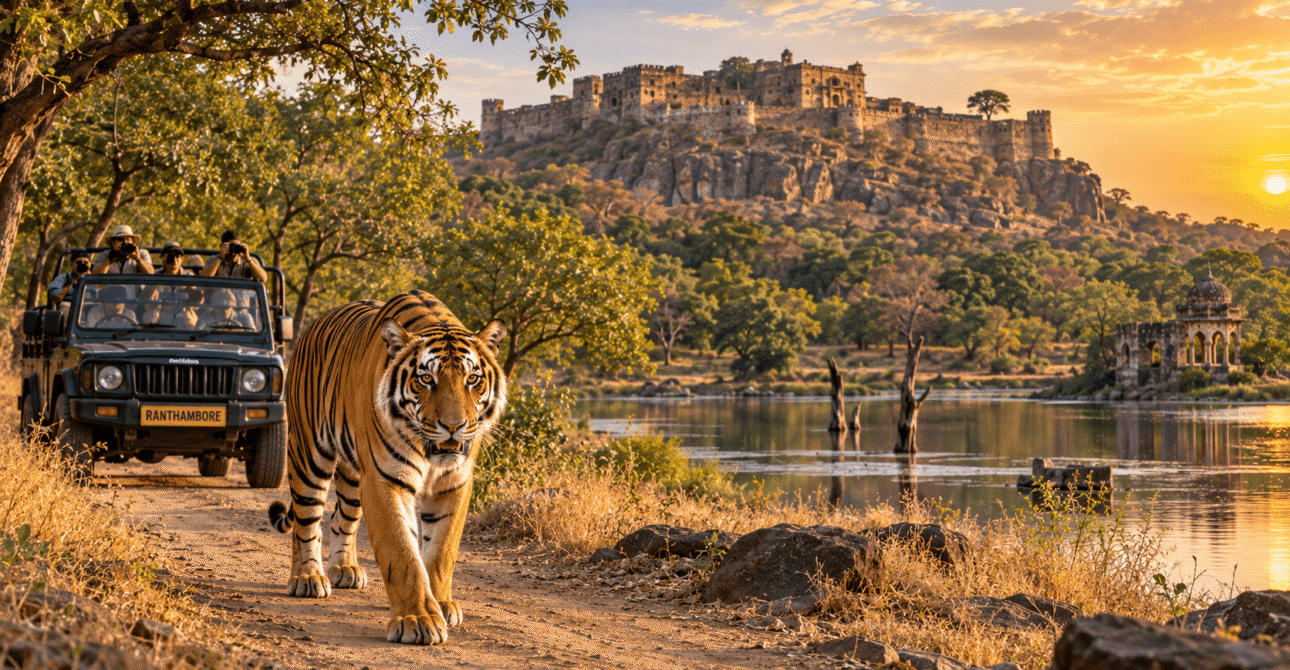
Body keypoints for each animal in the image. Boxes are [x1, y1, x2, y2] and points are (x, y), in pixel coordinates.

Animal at [267, 290, 507, 645]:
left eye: (472, 379)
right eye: (426, 379)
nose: (454, 427)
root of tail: (316, 321)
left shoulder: (455, 483)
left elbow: (441, 551)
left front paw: (441, 604)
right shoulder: (384, 480)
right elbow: (402, 552)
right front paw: (418, 619)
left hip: (353, 475)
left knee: (342, 518)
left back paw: (345, 570)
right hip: (309, 453)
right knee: (306, 520)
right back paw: (308, 577)